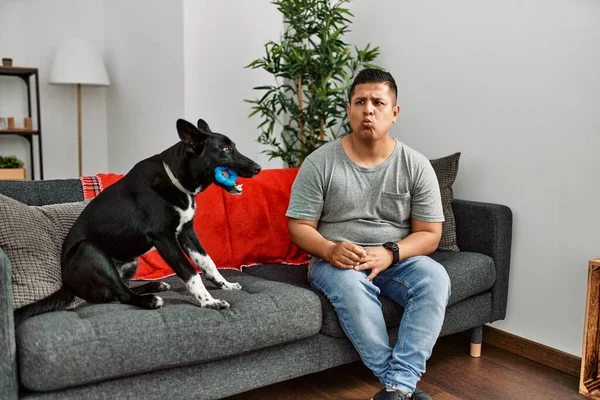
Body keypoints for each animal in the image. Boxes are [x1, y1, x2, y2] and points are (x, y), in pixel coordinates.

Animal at [14, 118, 260, 324]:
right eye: (225, 150)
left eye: (233, 146)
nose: (258, 168)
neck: (175, 178)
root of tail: (67, 284)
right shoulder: (164, 238)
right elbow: (190, 272)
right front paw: (209, 302)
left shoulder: (187, 232)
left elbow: (207, 262)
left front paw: (225, 285)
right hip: (89, 250)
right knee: (121, 295)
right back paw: (149, 300)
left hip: (131, 262)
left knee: (119, 290)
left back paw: (154, 286)